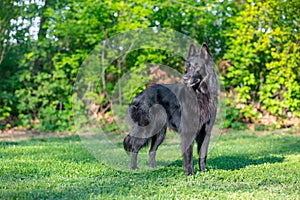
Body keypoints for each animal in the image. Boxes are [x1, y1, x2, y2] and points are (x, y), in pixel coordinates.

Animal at [122, 43, 218, 175]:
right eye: (187, 67)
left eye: (196, 66)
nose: (184, 78)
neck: (200, 94)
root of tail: (138, 96)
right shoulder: (188, 131)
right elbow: (188, 156)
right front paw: (189, 173)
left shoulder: (206, 132)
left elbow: (203, 154)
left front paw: (203, 171)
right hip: (147, 130)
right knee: (135, 147)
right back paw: (134, 169)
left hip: (160, 132)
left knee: (151, 150)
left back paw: (154, 168)